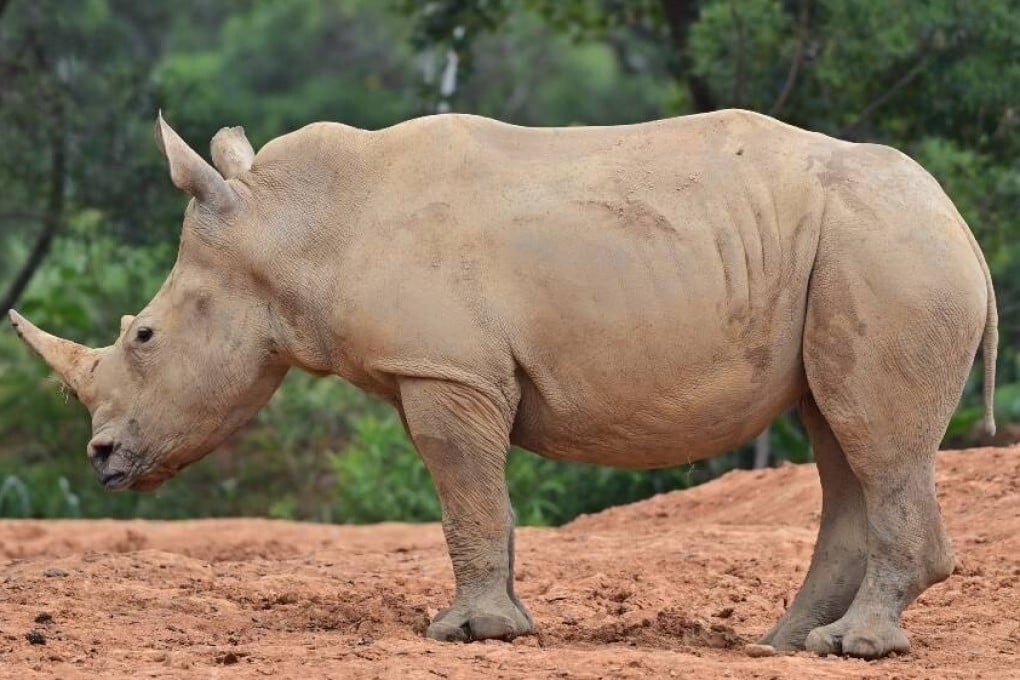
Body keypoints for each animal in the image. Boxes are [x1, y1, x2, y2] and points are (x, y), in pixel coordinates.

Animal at [9, 109, 996, 659]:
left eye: (143, 336)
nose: (100, 458)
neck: (295, 227)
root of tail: (964, 228)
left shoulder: (445, 370)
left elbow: (464, 495)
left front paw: (468, 634)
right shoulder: (462, 371)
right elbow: (486, 500)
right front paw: (505, 623)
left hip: (890, 253)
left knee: (872, 439)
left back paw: (856, 648)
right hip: (865, 253)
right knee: (841, 439)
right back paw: (787, 645)